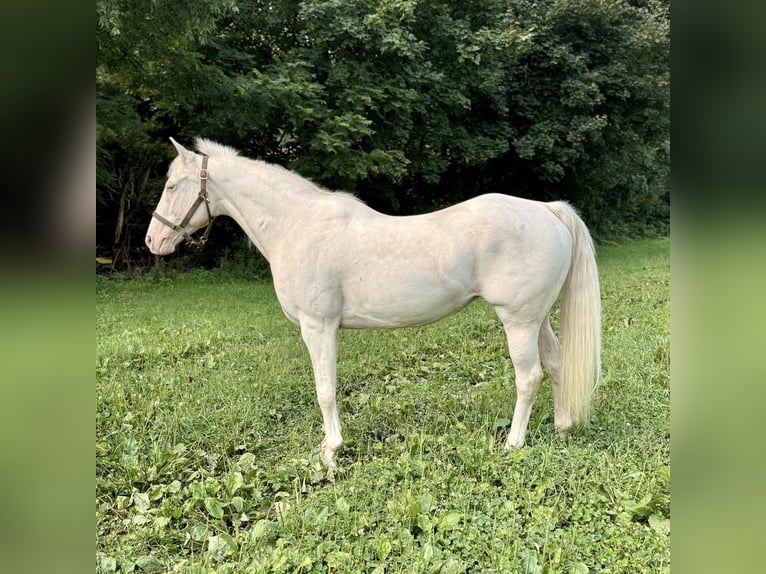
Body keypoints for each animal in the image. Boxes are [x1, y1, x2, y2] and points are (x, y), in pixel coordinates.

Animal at [144, 138, 600, 468]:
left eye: (171, 186)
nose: (153, 240)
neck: (297, 224)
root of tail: (547, 210)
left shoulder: (318, 326)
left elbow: (325, 390)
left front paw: (331, 452)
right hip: (536, 319)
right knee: (556, 364)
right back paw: (562, 428)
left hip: (518, 321)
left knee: (529, 377)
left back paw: (513, 444)